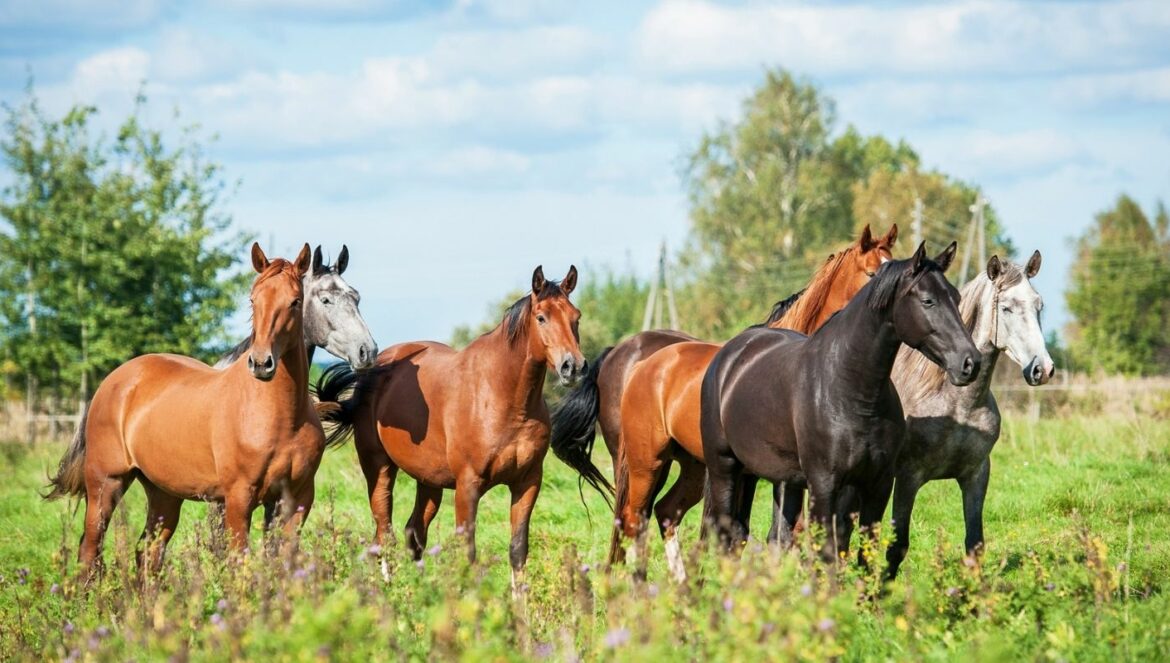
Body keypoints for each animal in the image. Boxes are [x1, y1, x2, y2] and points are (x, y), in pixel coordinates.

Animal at [45, 244, 327, 575]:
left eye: (295, 302)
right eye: (253, 299)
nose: (261, 363)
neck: (280, 417)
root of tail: (111, 382)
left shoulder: (297, 500)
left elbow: (283, 563)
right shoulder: (238, 498)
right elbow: (240, 563)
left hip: (163, 493)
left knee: (147, 552)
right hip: (106, 483)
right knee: (90, 549)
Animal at [315, 266, 585, 588]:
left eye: (576, 316)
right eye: (541, 317)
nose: (573, 366)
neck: (504, 398)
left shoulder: (528, 482)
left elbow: (518, 549)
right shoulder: (468, 486)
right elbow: (467, 550)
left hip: (429, 481)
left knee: (413, 533)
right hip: (378, 467)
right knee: (383, 532)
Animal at [603, 227, 899, 580]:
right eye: (870, 273)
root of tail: (639, 364)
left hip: (690, 465)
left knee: (663, 512)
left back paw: (680, 580)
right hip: (646, 461)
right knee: (633, 517)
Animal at [700, 242, 980, 566]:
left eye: (956, 298)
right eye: (928, 300)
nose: (970, 362)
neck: (851, 390)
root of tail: (730, 353)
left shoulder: (877, 484)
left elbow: (863, 554)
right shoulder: (824, 485)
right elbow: (826, 553)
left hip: (782, 480)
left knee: (775, 536)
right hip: (725, 467)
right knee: (725, 531)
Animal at [883, 251, 1053, 579]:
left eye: (1039, 305)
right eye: (1006, 307)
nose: (1043, 369)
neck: (957, 406)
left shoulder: (976, 474)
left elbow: (975, 544)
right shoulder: (908, 476)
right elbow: (897, 547)